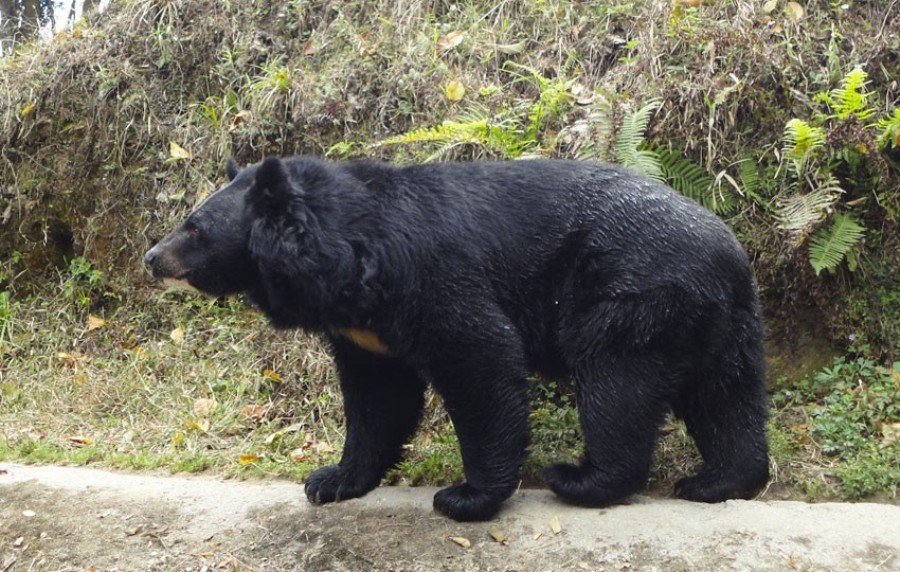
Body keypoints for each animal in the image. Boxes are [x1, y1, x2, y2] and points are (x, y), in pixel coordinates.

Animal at [144, 156, 768, 524]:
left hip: (629, 299)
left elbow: (481, 359)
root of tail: (729, 254)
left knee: (617, 388)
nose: (151, 257)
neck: (344, 263)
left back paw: (581, 478)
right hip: (723, 327)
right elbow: (378, 399)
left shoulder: (428, 278)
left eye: (194, 228)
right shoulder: (364, 329)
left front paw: (466, 497)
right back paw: (718, 481)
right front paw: (330, 482)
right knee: (727, 400)